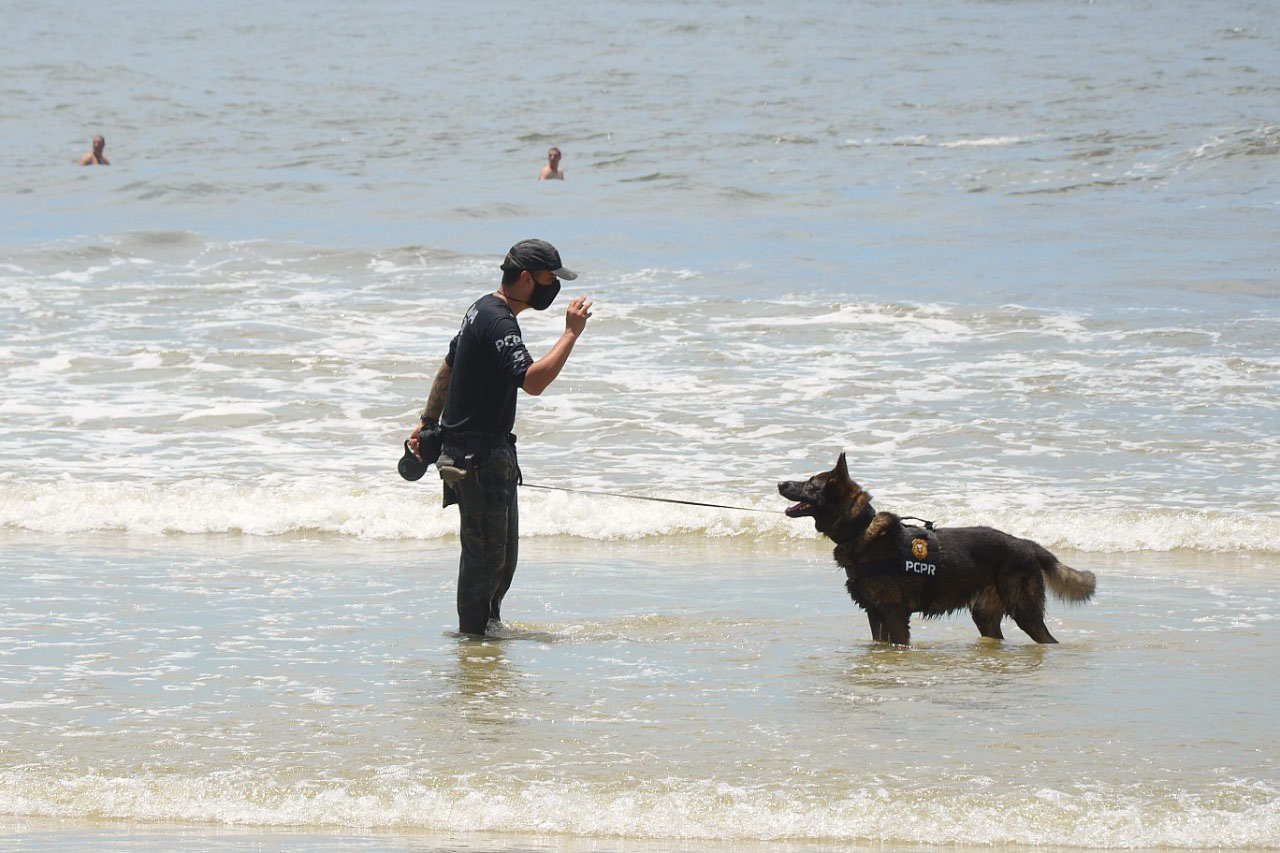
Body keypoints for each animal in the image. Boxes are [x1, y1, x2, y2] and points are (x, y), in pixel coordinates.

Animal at [773, 450, 1095, 645]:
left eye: (810, 484)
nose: (779, 483)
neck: (861, 529)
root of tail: (1027, 544)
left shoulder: (894, 614)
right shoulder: (875, 614)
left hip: (1024, 611)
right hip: (986, 617)